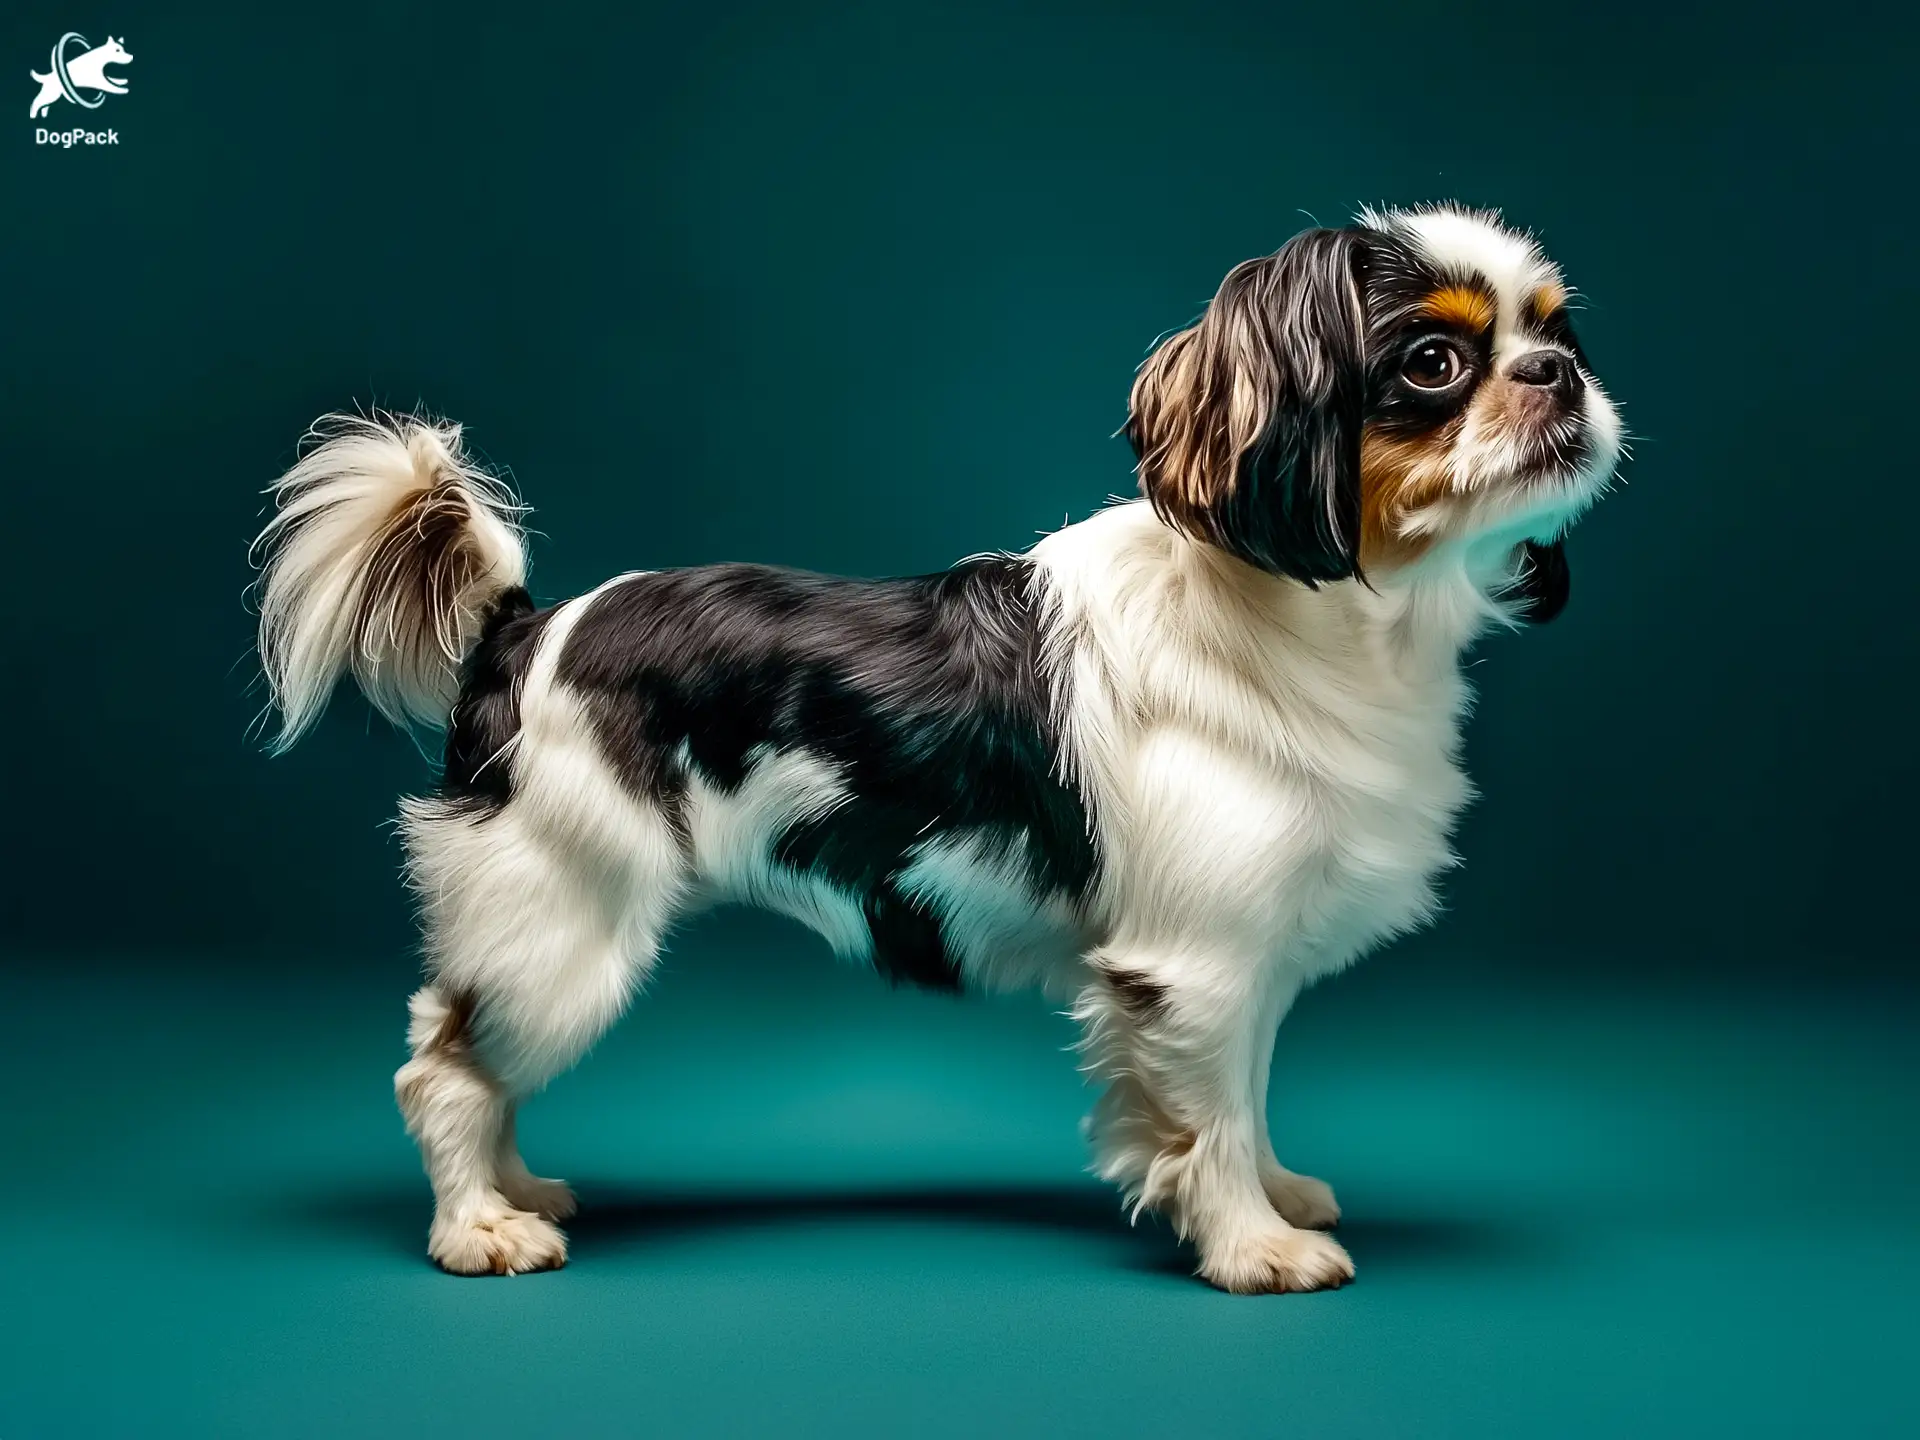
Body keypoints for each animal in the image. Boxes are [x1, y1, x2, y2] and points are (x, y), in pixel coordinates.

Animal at [255, 203, 1620, 1297]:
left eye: (1561, 331)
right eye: (1435, 362)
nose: (1558, 373)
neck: (1332, 617)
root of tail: (523, 626)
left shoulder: (1248, 955)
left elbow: (1249, 1094)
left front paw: (1274, 1194)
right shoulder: (1198, 964)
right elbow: (1213, 1117)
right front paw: (1252, 1247)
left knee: (467, 1053)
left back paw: (519, 1189)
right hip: (566, 918)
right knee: (443, 1069)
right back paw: (478, 1228)